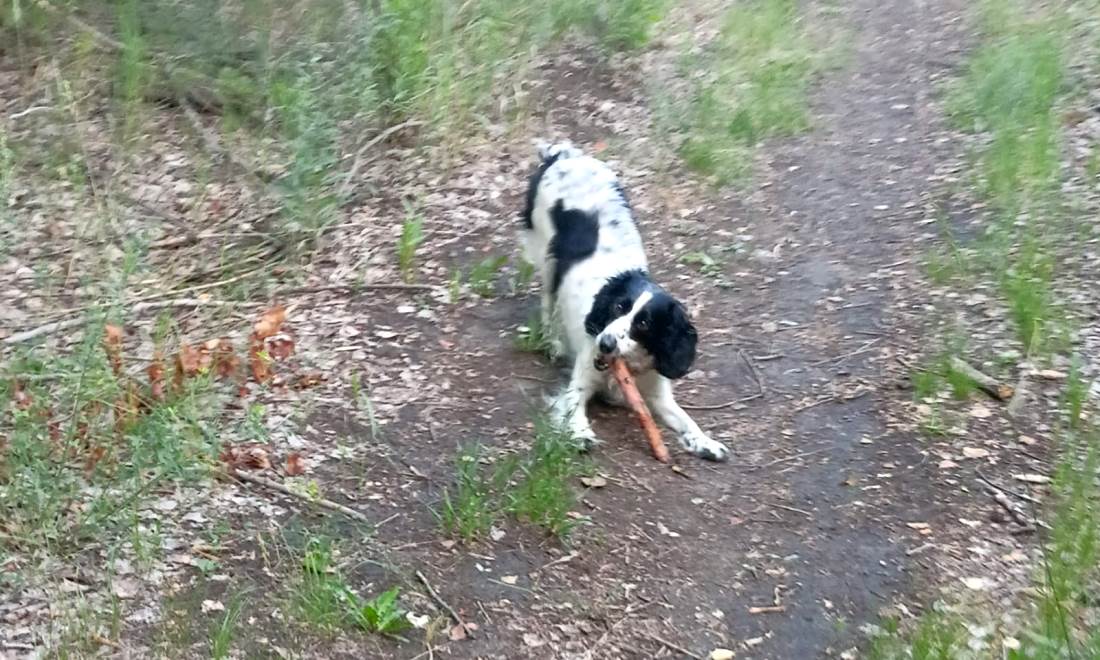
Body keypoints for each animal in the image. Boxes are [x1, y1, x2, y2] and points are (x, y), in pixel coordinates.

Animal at [517, 141, 726, 462]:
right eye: (618, 307)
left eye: (645, 323)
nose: (605, 343)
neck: (630, 363)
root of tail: (563, 155)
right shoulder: (581, 381)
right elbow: (574, 407)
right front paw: (581, 433)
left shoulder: (658, 392)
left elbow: (687, 419)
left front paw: (705, 441)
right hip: (548, 259)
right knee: (547, 302)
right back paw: (553, 342)